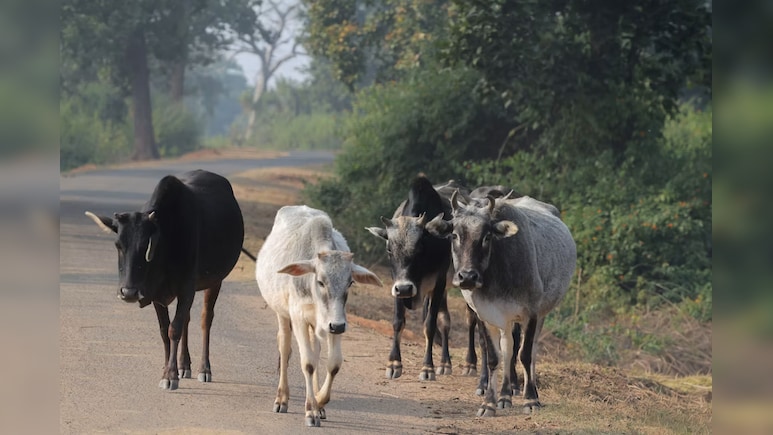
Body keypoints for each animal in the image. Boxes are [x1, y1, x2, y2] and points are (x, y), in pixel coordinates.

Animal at [85, 169, 245, 390]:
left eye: (146, 245)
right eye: (118, 245)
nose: (128, 292)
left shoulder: (186, 288)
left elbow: (174, 329)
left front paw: (170, 376)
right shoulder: (156, 293)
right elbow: (164, 331)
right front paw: (169, 370)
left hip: (215, 281)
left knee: (206, 319)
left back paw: (204, 369)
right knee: (187, 319)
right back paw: (184, 365)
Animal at [256, 205, 382, 427]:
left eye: (350, 282)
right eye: (321, 281)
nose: (337, 326)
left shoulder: (336, 322)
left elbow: (333, 363)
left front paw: (320, 401)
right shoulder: (299, 318)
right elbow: (307, 363)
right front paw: (311, 410)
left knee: (316, 349)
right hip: (282, 314)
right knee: (285, 347)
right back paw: (282, 398)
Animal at [426, 192, 576, 416]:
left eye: (487, 237)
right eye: (454, 235)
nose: (467, 277)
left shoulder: (531, 314)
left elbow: (525, 355)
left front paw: (530, 400)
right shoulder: (486, 316)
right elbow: (494, 358)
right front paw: (489, 403)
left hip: (540, 315)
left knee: (531, 350)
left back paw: (530, 392)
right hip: (505, 321)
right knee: (508, 349)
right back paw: (505, 395)